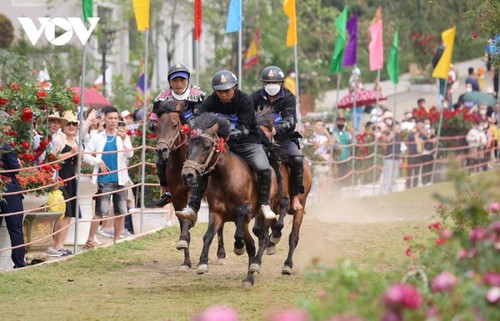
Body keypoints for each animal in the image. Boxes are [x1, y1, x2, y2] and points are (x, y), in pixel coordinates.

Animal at [156, 99, 227, 268]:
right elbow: (183, 222)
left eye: (175, 125)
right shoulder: (176, 196)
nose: (161, 150)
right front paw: (185, 259)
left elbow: (188, 219)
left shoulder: (191, 193)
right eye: (157, 126)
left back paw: (221, 254)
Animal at [181, 112, 282, 284]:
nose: (187, 175)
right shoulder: (216, 214)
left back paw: (255, 265)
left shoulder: (246, 211)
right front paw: (202, 263)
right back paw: (249, 277)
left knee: (262, 239)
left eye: (207, 147)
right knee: (252, 245)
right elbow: (208, 235)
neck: (225, 178)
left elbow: (239, 233)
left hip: (266, 211)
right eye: (188, 147)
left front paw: (238, 247)